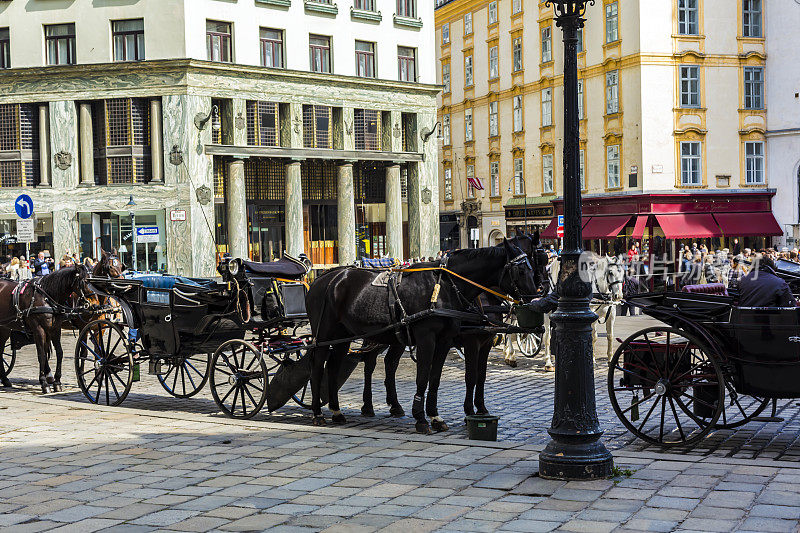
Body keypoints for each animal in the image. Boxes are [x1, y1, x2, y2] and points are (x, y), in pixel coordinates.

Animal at [304, 241, 536, 432]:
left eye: (532, 266)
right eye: (521, 270)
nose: (535, 299)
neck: (444, 286)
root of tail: (324, 278)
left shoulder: (448, 341)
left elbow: (438, 378)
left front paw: (435, 415)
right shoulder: (433, 339)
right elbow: (427, 376)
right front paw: (422, 417)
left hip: (349, 336)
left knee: (339, 366)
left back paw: (339, 410)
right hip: (325, 335)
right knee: (319, 366)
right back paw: (319, 412)